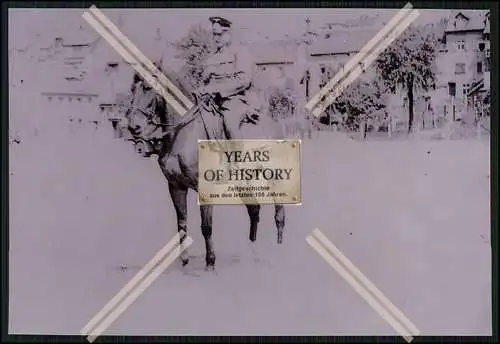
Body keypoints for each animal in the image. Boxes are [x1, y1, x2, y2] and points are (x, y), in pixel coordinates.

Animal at [124, 75, 286, 272]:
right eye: (132, 89)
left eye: (147, 88)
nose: (133, 126)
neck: (183, 135)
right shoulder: (176, 187)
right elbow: (182, 224)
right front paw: (184, 260)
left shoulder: (205, 189)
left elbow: (206, 227)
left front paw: (210, 262)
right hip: (242, 182)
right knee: (254, 210)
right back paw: (252, 250)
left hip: (275, 178)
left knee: (279, 214)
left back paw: (278, 247)